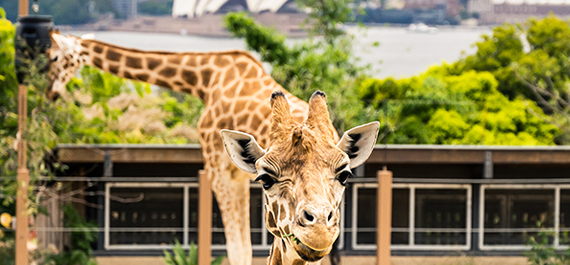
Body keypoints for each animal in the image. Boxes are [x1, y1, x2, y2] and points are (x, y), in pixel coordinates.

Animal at [47, 30, 310, 264]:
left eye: (53, 57)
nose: (51, 93)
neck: (203, 80)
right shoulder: (238, 175)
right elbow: (244, 247)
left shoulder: (217, 168)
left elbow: (237, 248)